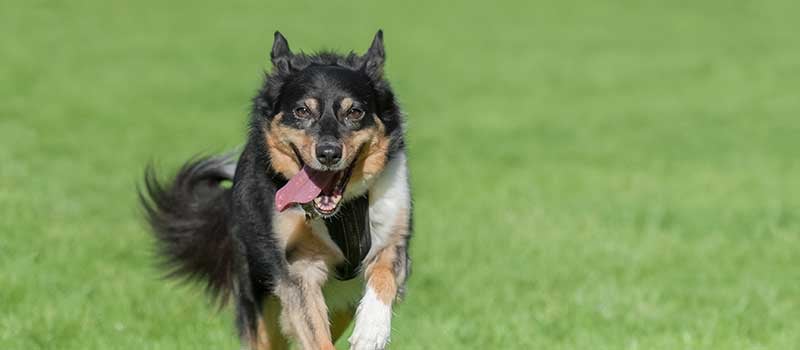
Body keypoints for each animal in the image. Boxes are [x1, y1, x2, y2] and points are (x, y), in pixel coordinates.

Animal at [139, 30, 412, 350]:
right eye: (302, 111)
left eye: (354, 112)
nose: (328, 153)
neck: (339, 213)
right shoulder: (298, 271)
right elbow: (316, 335)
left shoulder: (395, 236)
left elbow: (384, 272)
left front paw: (372, 329)